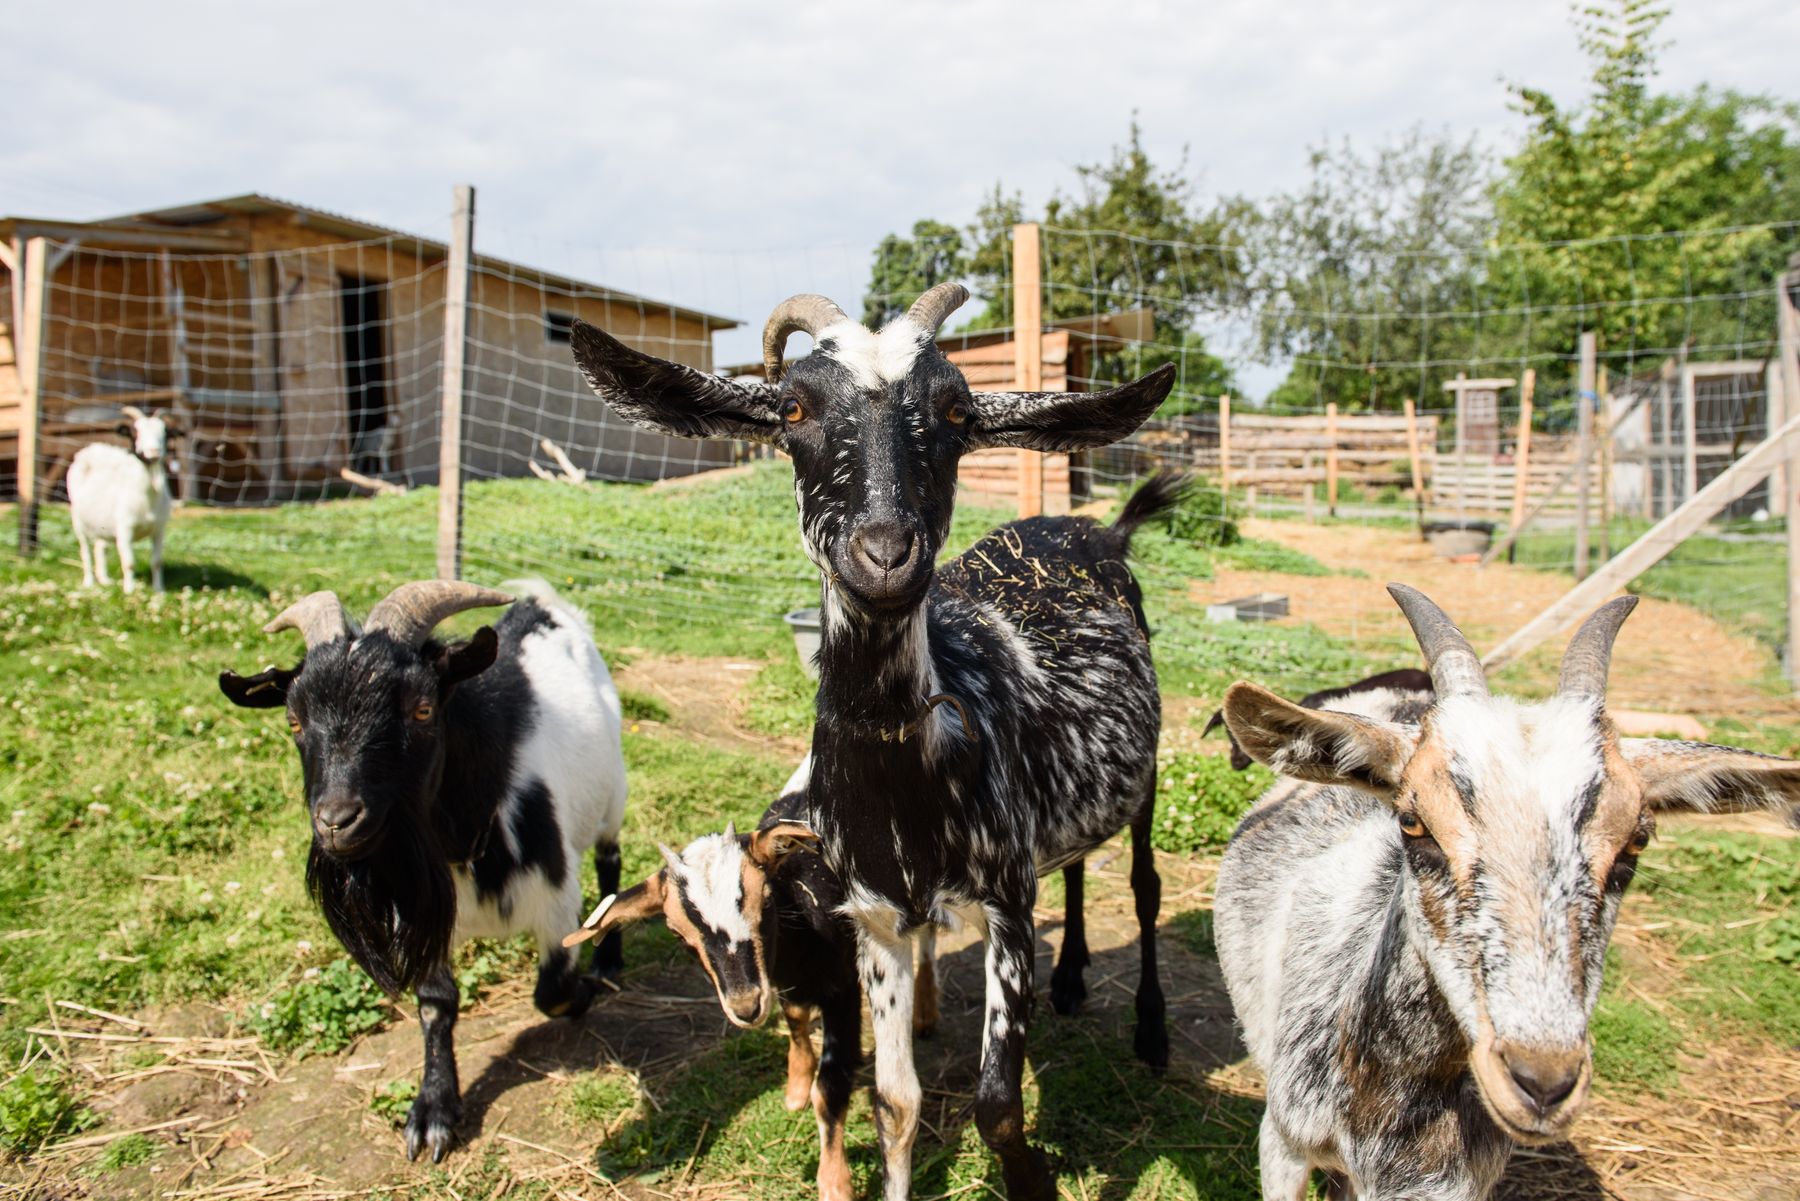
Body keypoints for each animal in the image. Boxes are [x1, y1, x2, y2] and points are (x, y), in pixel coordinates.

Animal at [67, 405, 177, 594]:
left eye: (165, 433)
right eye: (136, 432)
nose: (154, 452)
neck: (147, 499)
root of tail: (94, 448)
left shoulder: (159, 529)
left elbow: (156, 562)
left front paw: (159, 591)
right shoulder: (125, 529)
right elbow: (129, 563)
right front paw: (129, 591)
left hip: (102, 524)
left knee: (100, 547)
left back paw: (104, 580)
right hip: (78, 522)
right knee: (85, 551)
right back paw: (89, 582)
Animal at [217, 579, 627, 1163]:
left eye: (423, 709)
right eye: (294, 720)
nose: (337, 821)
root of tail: (540, 603)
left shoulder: (555, 894)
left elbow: (551, 990)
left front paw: (585, 992)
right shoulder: (425, 908)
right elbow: (436, 1004)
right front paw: (433, 1108)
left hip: (613, 794)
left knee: (610, 863)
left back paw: (609, 959)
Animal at [569, 284, 1180, 1201]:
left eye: (959, 410)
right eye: (792, 408)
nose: (886, 553)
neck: (908, 778)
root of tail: (1096, 530)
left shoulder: (1005, 902)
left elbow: (998, 1103)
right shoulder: (878, 919)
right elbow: (893, 1101)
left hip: (1145, 777)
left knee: (1142, 885)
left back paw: (1150, 1028)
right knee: (1074, 865)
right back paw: (1073, 976)